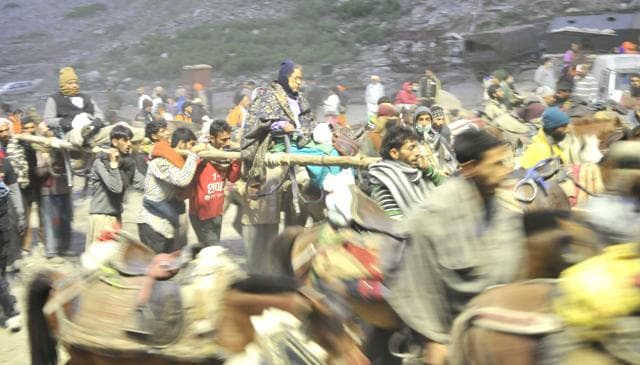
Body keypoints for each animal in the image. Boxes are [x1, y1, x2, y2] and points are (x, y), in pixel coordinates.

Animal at [28, 230, 370, 364]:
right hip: (87, 357)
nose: (362, 361)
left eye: (354, 323)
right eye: (330, 330)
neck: (232, 314)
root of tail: (61, 282)